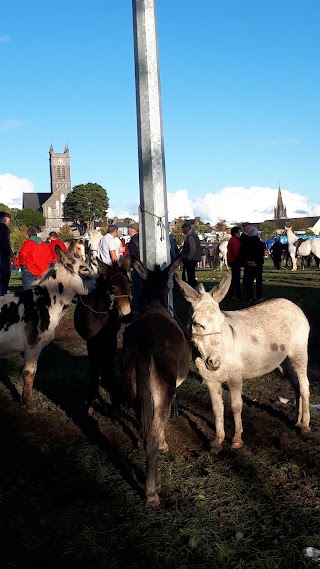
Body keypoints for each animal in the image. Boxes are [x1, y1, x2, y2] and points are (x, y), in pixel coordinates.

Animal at [74, 255, 131, 406]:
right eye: (112, 288)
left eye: (130, 285)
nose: (127, 316)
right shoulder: (91, 341)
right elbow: (94, 366)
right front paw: (94, 396)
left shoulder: (111, 337)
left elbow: (109, 362)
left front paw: (113, 391)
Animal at [121, 258, 189, 506]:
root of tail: (145, 343)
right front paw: (164, 444)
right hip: (163, 387)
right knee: (150, 434)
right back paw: (152, 491)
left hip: (132, 384)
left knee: (143, 432)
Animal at [175, 272, 310, 454]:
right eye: (197, 324)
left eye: (221, 322)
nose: (214, 362)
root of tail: (292, 304)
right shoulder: (210, 380)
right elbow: (217, 409)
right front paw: (217, 443)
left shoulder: (235, 378)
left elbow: (236, 406)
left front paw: (237, 440)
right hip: (283, 361)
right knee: (296, 386)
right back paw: (297, 420)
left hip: (299, 353)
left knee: (304, 386)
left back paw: (305, 426)